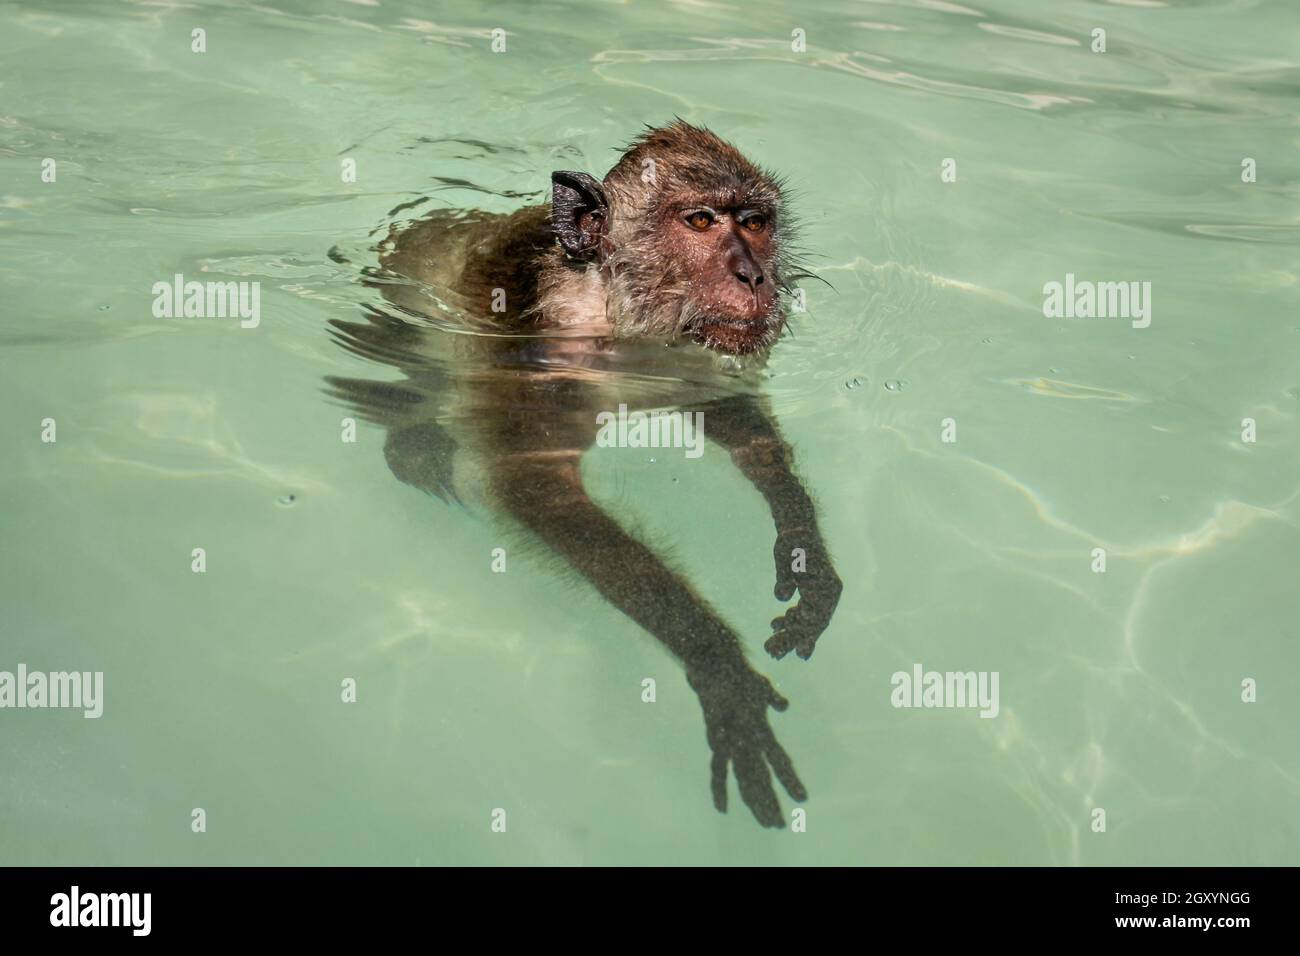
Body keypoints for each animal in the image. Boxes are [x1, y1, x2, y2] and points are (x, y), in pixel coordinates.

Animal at [327, 122, 842, 828]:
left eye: (756, 222)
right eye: (700, 221)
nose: (754, 274)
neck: (610, 306)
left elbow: (729, 415)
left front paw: (804, 555)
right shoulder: (542, 361)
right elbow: (538, 490)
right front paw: (717, 666)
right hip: (400, 293)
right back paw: (414, 439)